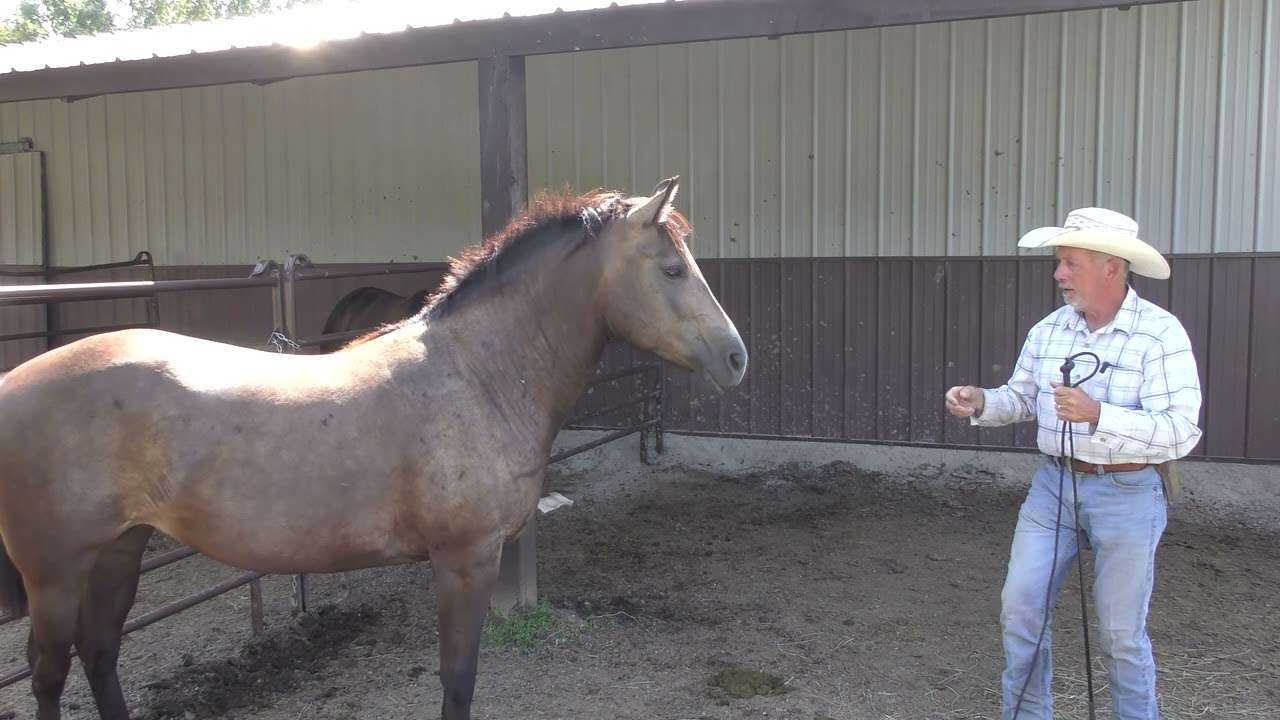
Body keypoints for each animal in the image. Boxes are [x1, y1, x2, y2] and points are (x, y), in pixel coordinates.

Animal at [0, 176, 747, 720]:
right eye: (672, 269)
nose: (737, 357)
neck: (478, 372)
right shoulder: (465, 561)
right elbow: (458, 678)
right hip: (56, 574)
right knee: (49, 673)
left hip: (119, 549)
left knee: (100, 653)